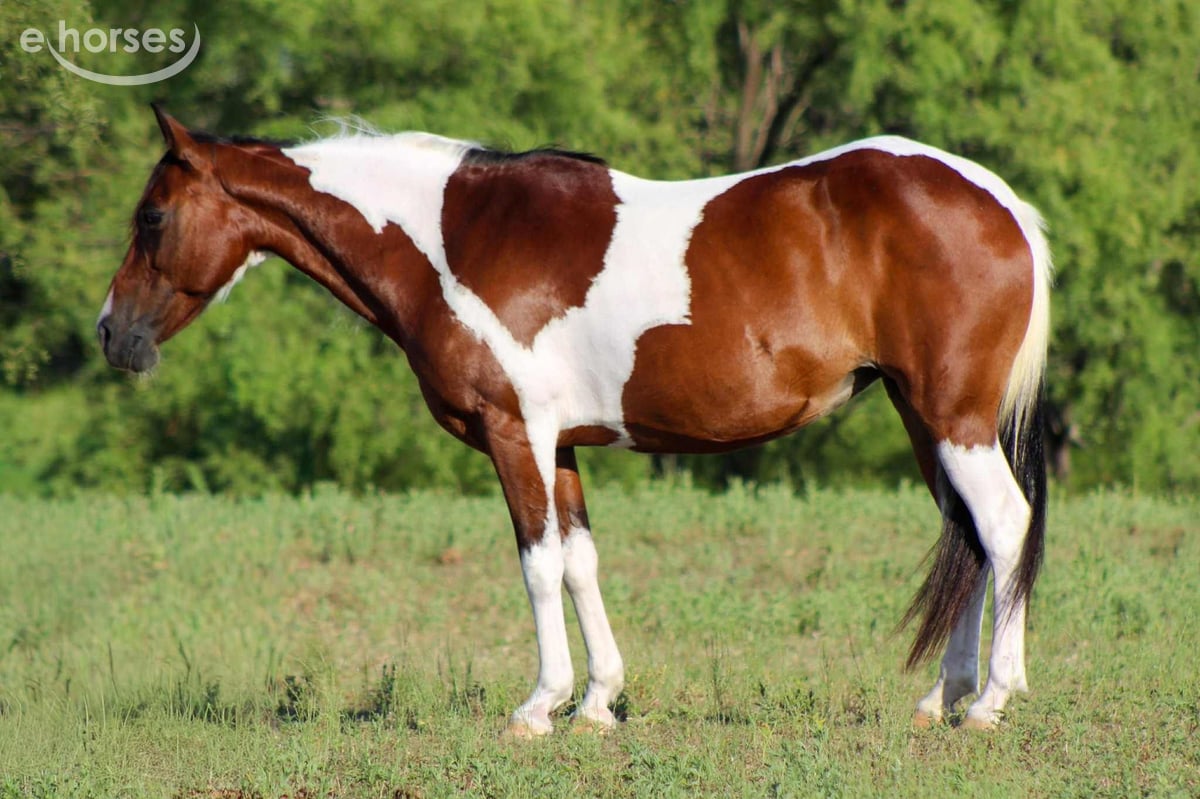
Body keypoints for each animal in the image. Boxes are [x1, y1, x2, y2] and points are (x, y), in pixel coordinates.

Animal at [98, 105, 1050, 735]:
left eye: (152, 217)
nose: (112, 333)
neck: (450, 241)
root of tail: (1000, 201)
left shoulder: (514, 433)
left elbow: (537, 565)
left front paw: (539, 705)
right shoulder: (560, 447)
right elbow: (583, 562)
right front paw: (597, 701)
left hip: (952, 418)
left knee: (1004, 524)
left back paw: (992, 701)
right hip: (921, 416)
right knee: (968, 534)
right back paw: (940, 698)